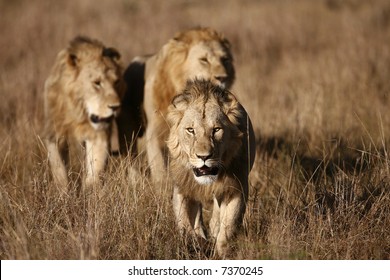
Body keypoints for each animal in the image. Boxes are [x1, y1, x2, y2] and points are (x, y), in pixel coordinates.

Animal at [45, 36, 125, 191]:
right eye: (97, 83)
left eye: (116, 82)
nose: (115, 107)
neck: (79, 113)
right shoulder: (54, 132)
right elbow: (59, 169)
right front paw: (63, 193)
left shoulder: (99, 133)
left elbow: (96, 167)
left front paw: (89, 190)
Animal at [116, 26, 235, 182]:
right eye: (204, 60)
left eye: (225, 60)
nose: (222, 77)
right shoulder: (156, 131)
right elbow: (159, 165)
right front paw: (161, 185)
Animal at [167, 79, 256, 258]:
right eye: (190, 130)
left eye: (216, 130)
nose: (204, 157)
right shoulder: (182, 187)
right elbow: (185, 224)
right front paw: (195, 244)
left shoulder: (236, 188)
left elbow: (227, 228)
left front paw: (220, 254)